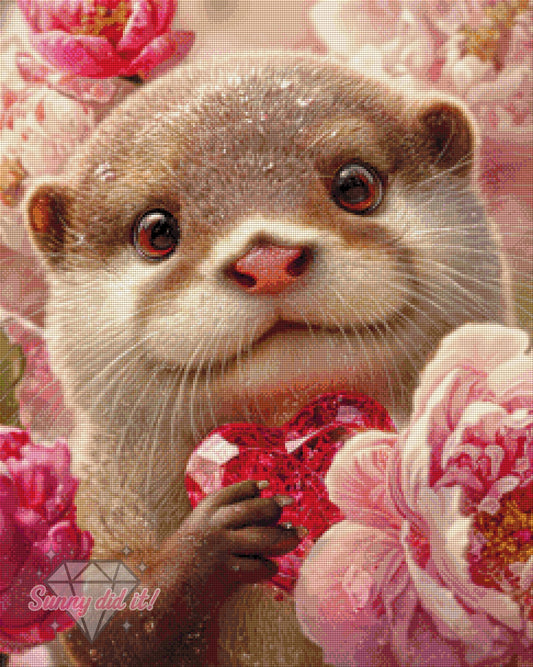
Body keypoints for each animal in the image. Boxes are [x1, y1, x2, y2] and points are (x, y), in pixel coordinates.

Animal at [24, 52, 511, 666]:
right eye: (156, 231)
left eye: (355, 184)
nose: (268, 259)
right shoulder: (100, 515)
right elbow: (106, 634)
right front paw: (214, 537)